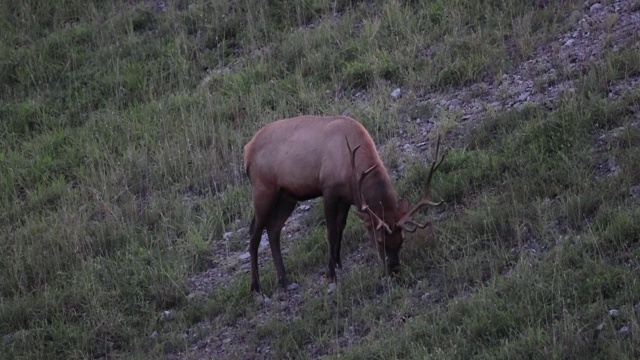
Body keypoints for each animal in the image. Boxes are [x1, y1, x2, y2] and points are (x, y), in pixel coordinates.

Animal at [241, 115, 444, 292]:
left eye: (401, 240)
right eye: (380, 241)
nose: (394, 269)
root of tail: (246, 151)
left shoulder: (347, 197)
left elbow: (341, 226)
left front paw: (338, 262)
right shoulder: (329, 189)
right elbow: (331, 232)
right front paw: (330, 274)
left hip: (287, 196)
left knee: (274, 229)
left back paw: (284, 281)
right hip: (263, 189)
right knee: (254, 232)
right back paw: (255, 286)